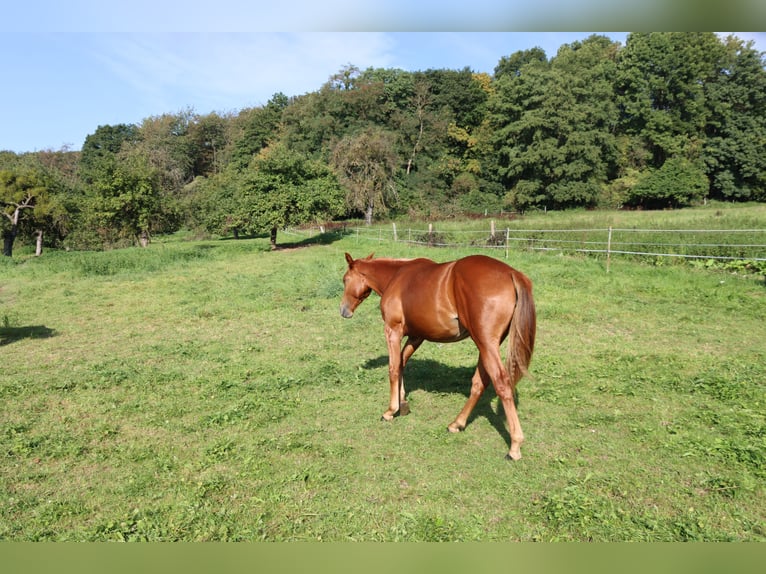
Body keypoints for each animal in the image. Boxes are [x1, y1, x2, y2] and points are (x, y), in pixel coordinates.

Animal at [342, 254, 540, 462]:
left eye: (345, 279)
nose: (344, 310)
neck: (396, 276)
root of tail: (511, 273)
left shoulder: (393, 331)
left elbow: (394, 368)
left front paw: (391, 410)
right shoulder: (416, 336)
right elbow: (402, 362)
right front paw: (403, 402)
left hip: (486, 344)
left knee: (501, 383)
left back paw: (514, 446)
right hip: (486, 346)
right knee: (480, 382)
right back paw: (457, 423)